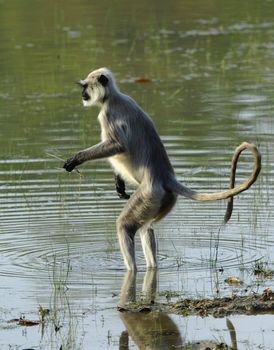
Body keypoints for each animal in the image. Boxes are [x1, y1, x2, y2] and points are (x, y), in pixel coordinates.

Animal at [63, 67, 262, 270]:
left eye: (86, 86)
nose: (83, 94)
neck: (112, 96)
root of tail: (165, 176)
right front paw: (119, 185)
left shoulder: (107, 114)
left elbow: (118, 146)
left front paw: (76, 159)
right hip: (162, 200)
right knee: (146, 227)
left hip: (148, 194)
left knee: (125, 225)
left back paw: (131, 269)